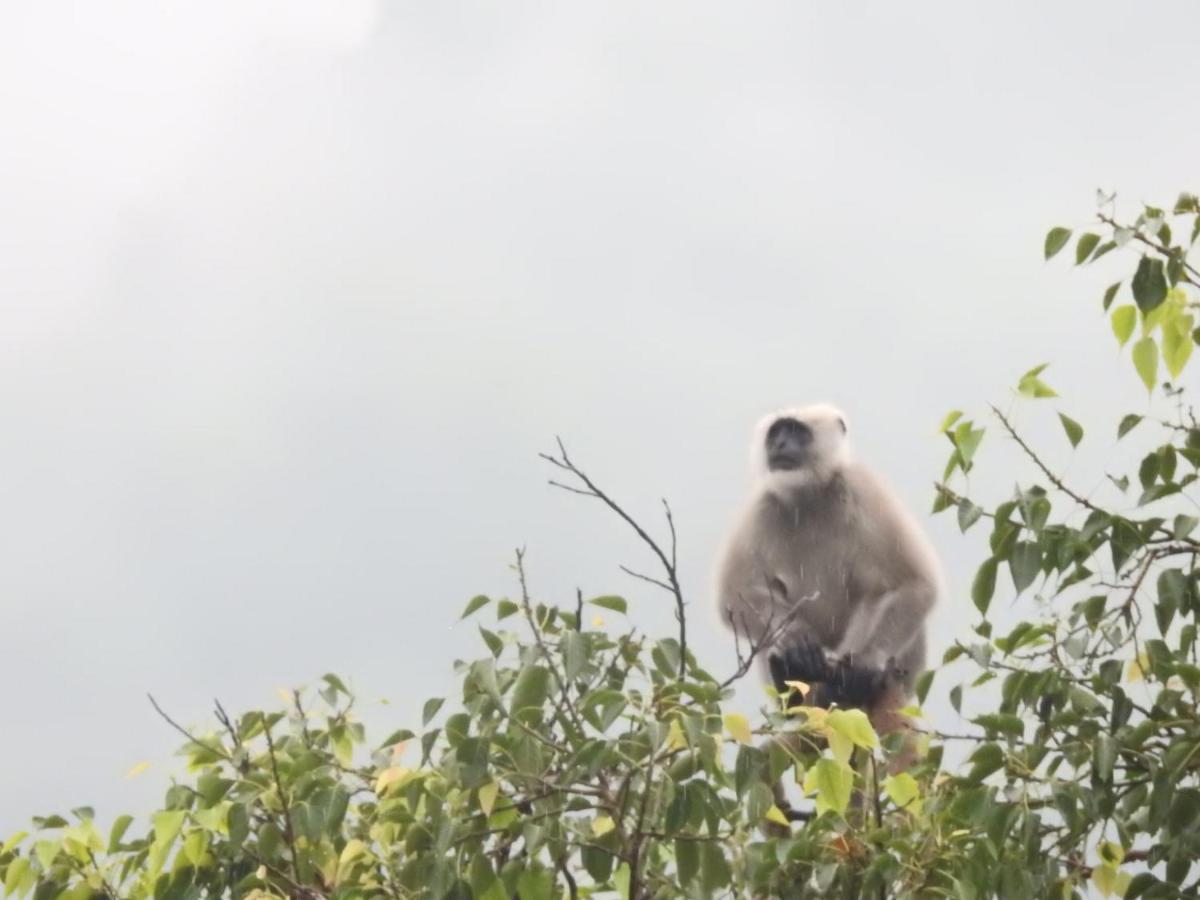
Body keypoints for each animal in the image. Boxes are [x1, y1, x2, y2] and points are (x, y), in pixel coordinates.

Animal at [715, 405, 940, 744]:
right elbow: (734, 594)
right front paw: (795, 641)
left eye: (796, 431)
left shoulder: (860, 484)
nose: (779, 445)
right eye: (776, 433)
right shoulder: (763, 503)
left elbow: (914, 582)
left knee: (875, 591)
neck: (810, 495)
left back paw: (847, 680)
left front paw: (867, 663)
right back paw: (790, 675)